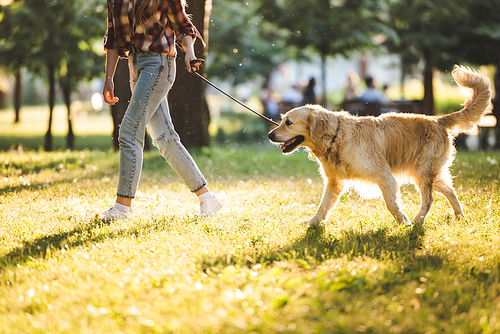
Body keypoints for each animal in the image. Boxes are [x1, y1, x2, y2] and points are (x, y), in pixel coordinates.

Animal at [270, 65, 492, 224]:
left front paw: (403, 222)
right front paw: (313, 222)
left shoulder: (384, 175)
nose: (270, 134)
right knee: (450, 191)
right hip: (425, 173)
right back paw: (460, 217)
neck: (336, 136)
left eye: (288, 122)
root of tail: (438, 120)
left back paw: (418, 221)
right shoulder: (335, 182)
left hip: (423, 171)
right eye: (282, 120)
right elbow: (323, 205)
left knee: (429, 200)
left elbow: (391, 203)